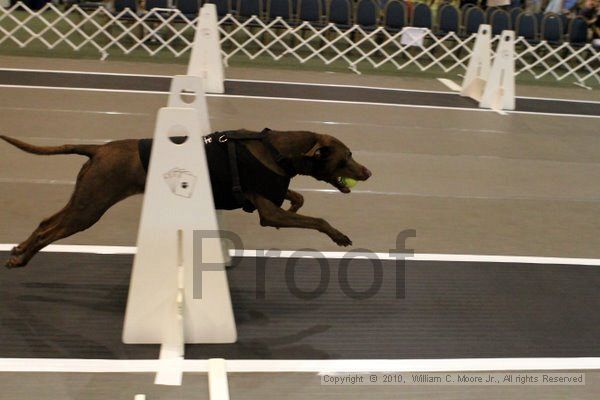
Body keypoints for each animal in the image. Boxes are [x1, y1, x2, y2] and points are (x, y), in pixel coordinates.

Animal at [1, 130, 370, 268]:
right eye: (346, 157)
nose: (367, 172)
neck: (279, 150)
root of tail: (98, 148)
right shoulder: (269, 214)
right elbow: (317, 218)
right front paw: (339, 235)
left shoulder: (270, 198)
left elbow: (298, 198)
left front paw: (296, 199)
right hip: (90, 208)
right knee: (49, 232)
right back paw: (21, 259)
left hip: (84, 199)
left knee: (45, 223)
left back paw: (19, 250)